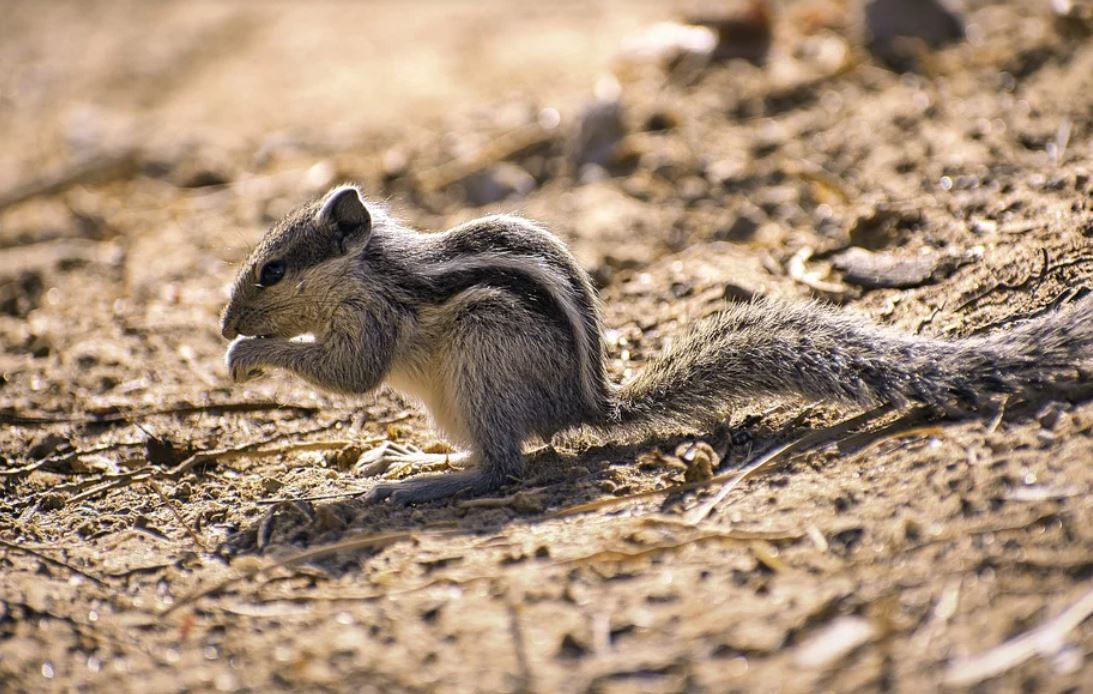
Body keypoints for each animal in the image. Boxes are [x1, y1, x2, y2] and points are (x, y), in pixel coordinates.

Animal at [220, 185, 1093, 505]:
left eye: (271, 270)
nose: (227, 324)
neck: (365, 266)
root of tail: (587, 404)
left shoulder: (375, 320)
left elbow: (352, 377)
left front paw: (247, 356)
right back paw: (413, 459)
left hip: (481, 354)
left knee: (501, 467)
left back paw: (416, 485)